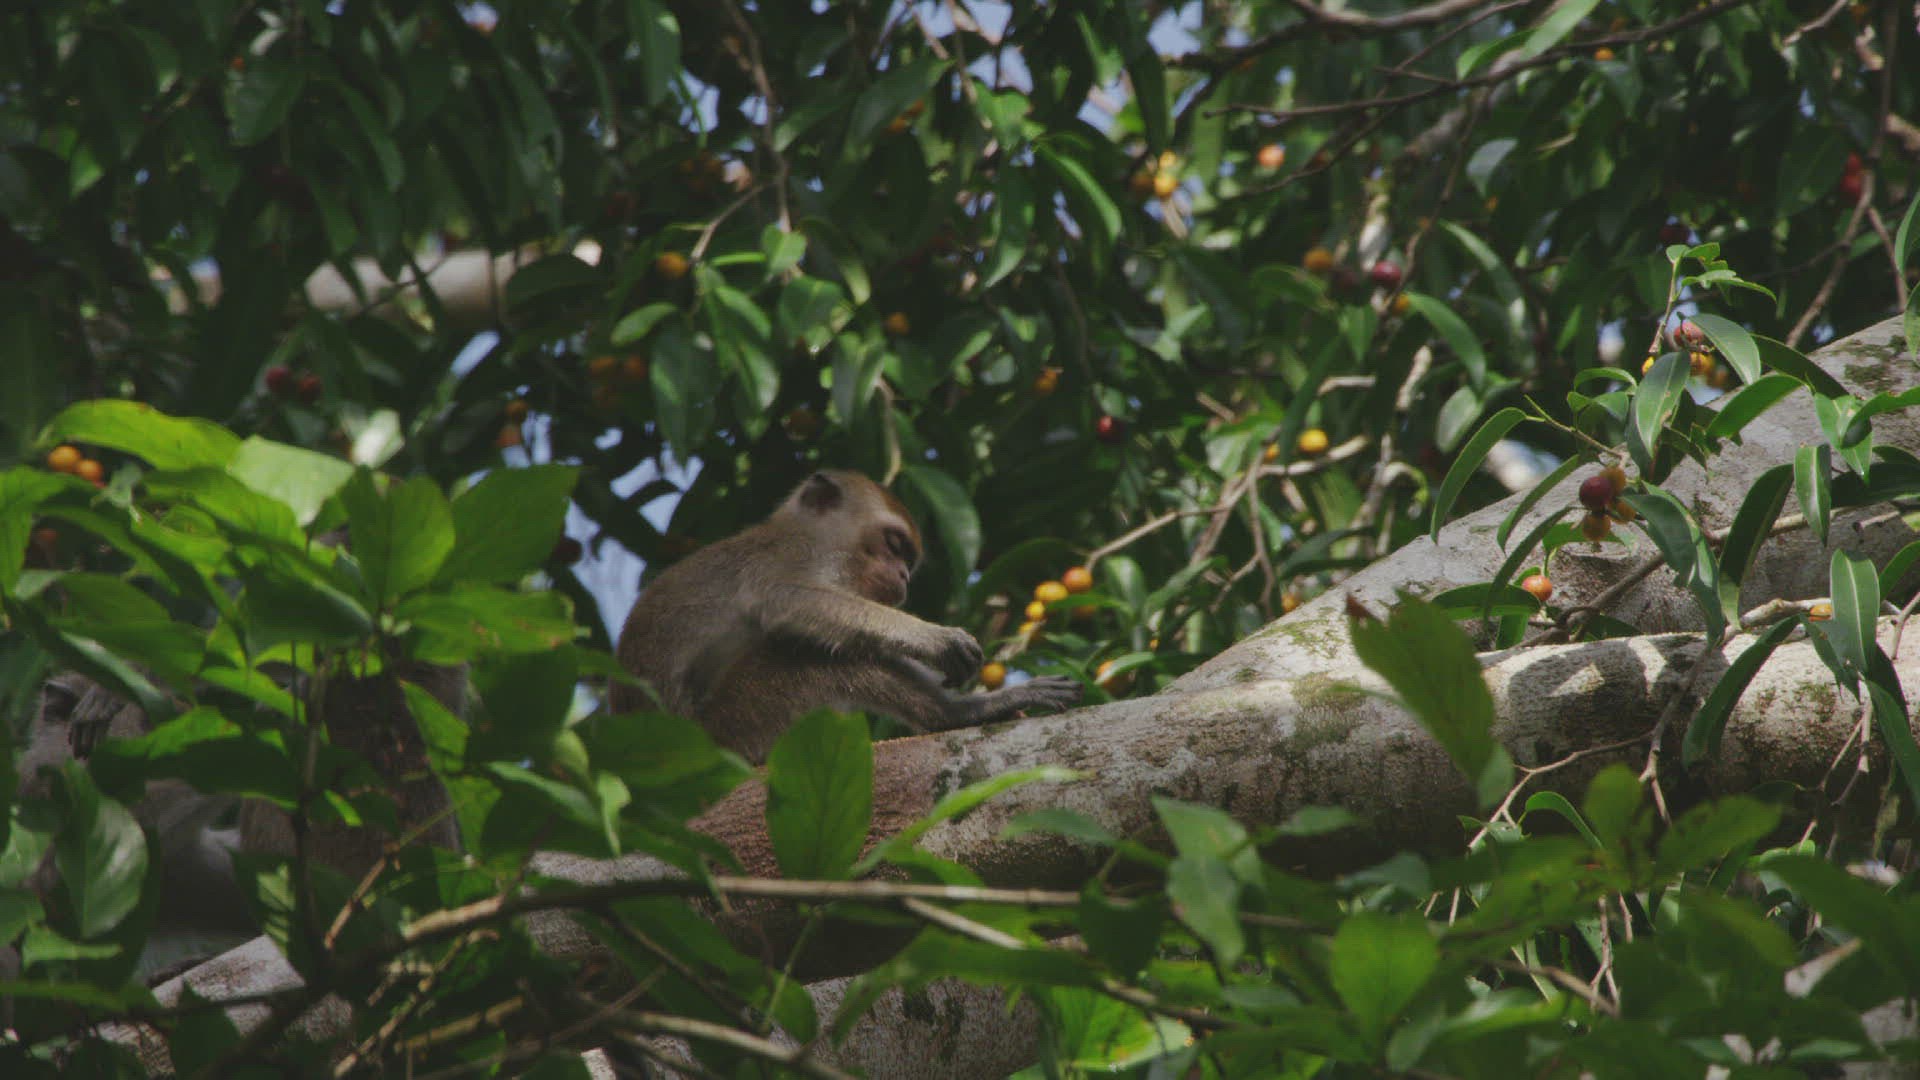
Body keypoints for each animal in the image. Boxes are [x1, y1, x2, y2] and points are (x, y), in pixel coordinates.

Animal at [612, 470, 1084, 763]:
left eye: (908, 560)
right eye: (894, 545)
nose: (903, 577)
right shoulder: (793, 556)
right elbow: (785, 602)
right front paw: (936, 638)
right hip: (728, 735)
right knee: (809, 654)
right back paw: (955, 714)